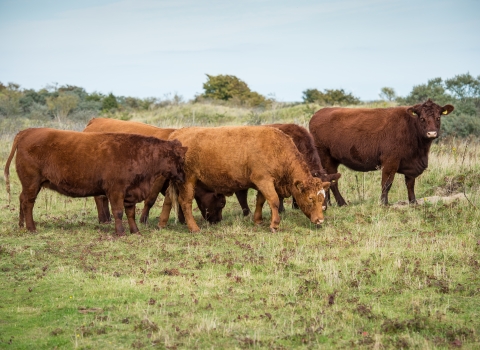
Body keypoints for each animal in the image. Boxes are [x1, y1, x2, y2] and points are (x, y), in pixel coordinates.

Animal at [4, 129, 188, 235]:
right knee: (28, 203)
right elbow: (118, 212)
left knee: (22, 200)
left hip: (29, 185)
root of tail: (26, 132)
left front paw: (135, 231)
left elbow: (130, 213)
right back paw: (31, 228)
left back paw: (21, 226)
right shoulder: (116, 190)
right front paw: (120, 233)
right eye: (179, 157)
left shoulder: (130, 192)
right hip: (32, 183)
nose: (184, 176)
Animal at [308, 98, 454, 205]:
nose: (431, 133)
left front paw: (413, 202)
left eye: (438, 118)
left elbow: (410, 184)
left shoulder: (411, 165)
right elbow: (387, 183)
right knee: (332, 181)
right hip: (325, 157)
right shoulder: (390, 161)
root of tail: (319, 113)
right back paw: (341, 203)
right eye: (422, 118)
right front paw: (384, 203)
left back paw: (328, 203)